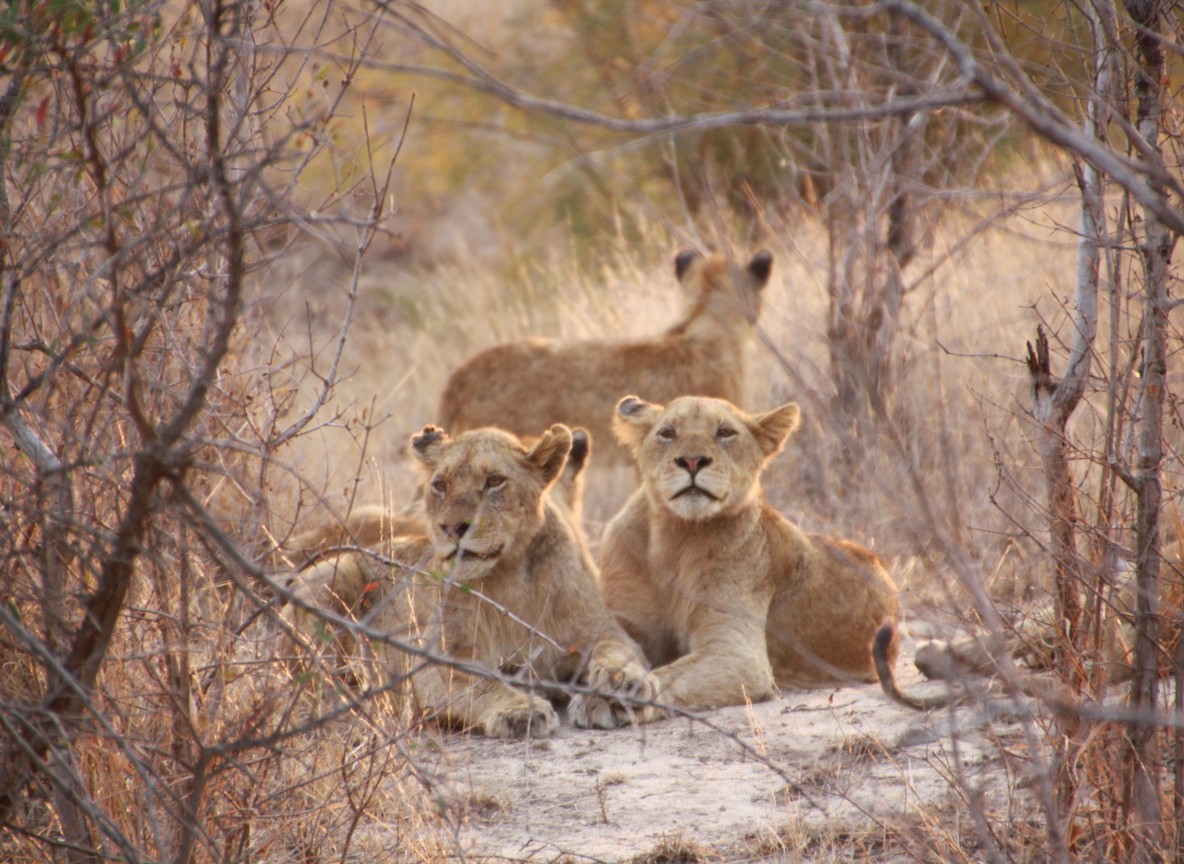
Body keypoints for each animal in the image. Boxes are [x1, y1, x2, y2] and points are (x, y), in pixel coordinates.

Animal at [283, 423, 656, 738]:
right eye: (441, 485)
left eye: (494, 481)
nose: (452, 528)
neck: (508, 578)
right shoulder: (437, 662)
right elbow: (481, 683)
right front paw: (519, 710)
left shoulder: (600, 630)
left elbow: (617, 654)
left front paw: (620, 690)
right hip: (334, 574)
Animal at [599, 394, 936, 714]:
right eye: (668, 433)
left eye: (725, 432)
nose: (692, 461)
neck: (676, 535)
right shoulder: (625, 618)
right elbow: (607, 645)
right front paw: (615, 681)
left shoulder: (739, 653)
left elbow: (674, 673)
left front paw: (628, 694)